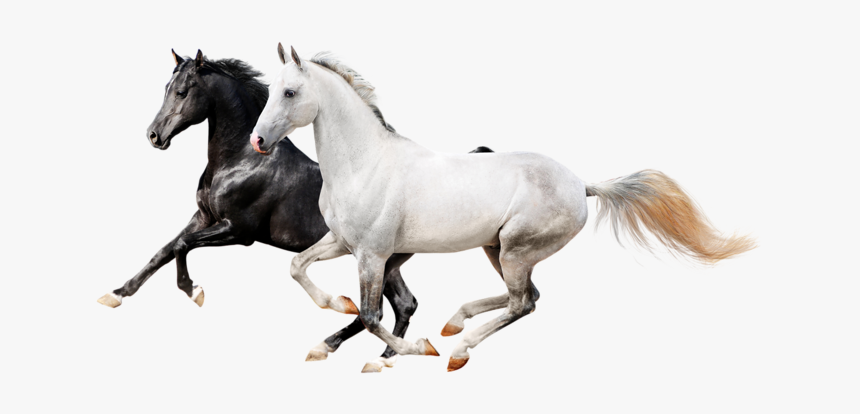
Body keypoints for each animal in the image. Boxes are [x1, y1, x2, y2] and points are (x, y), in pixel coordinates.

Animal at [97, 49, 490, 372]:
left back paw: (339, 344)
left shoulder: (238, 231)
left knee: (383, 309)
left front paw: (194, 291)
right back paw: (381, 358)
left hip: (377, 258)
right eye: (166, 87)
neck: (240, 159)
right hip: (385, 261)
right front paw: (116, 294)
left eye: (182, 91)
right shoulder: (203, 218)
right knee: (403, 305)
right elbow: (163, 250)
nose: (154, 136)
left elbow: (182, 247)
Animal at [250, 45, 756, 372]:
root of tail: (581, 185)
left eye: (290, 92)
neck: (365, 163)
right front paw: (334, 307)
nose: (257, 141)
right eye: (271, 90)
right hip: (497, 249)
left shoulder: (372, 254)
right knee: (528, 297)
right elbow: (297, 267)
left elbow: (372, 317)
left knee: (522, 302)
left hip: (516, 250)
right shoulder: (342, 243)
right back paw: (454, 324)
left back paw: (458, 349)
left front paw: (407, 352)